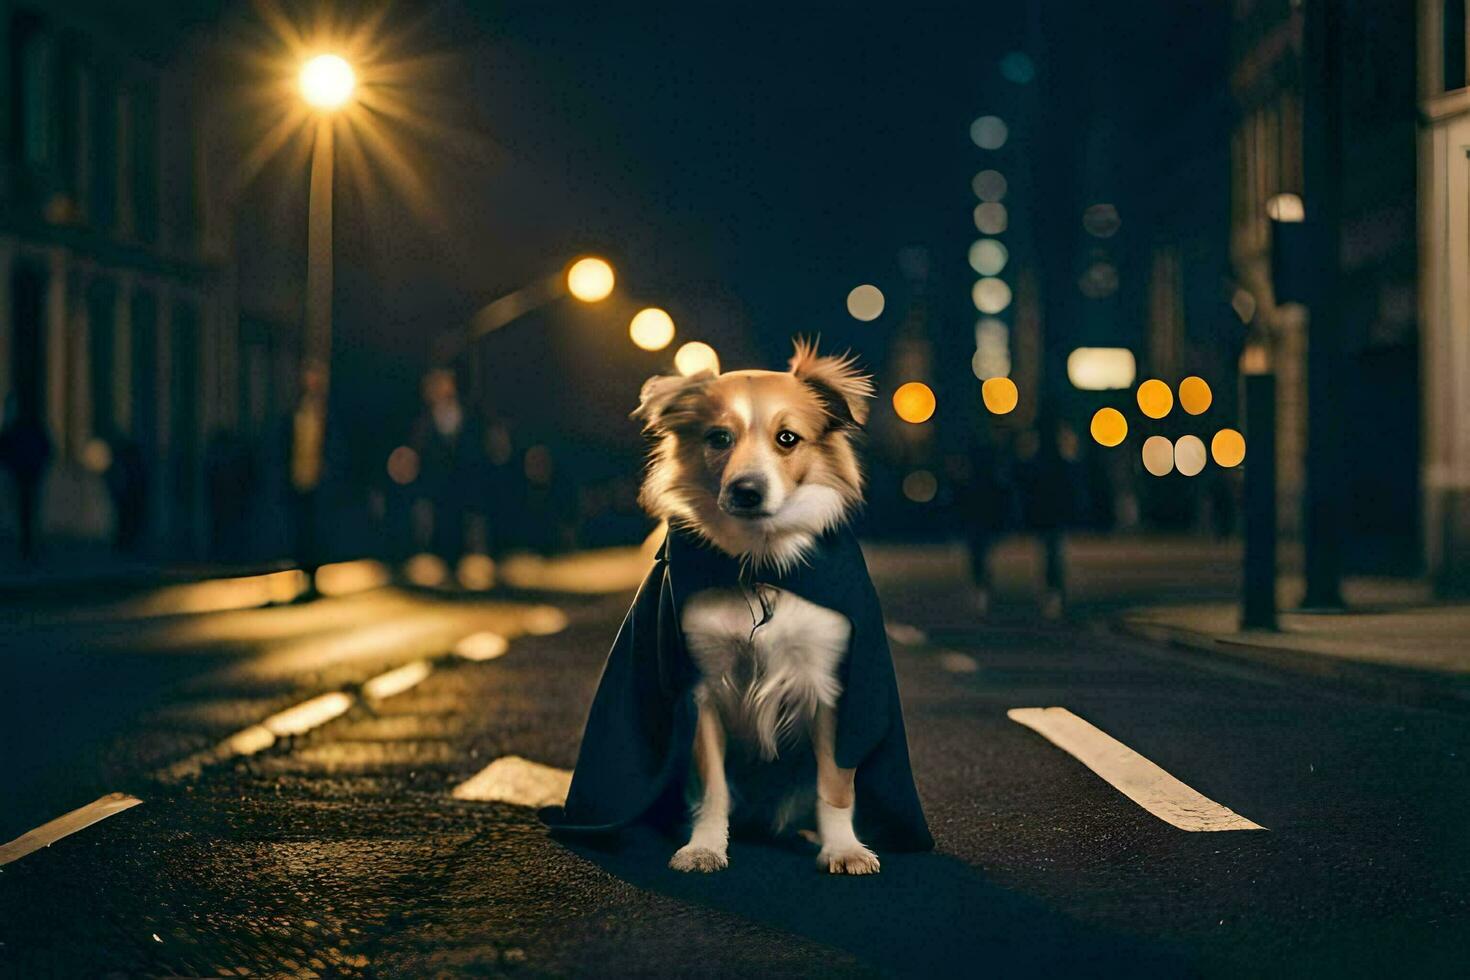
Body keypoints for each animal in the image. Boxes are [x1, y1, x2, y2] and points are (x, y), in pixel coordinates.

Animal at [632, 340, 882, 875]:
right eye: (718, 438)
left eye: (788, 438)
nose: (746, 490)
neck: (761, 565)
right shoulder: (702, 689)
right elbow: (712, 789)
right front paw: (704, 846)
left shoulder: (830, 688)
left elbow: (835, 785)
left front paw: (843, 848)